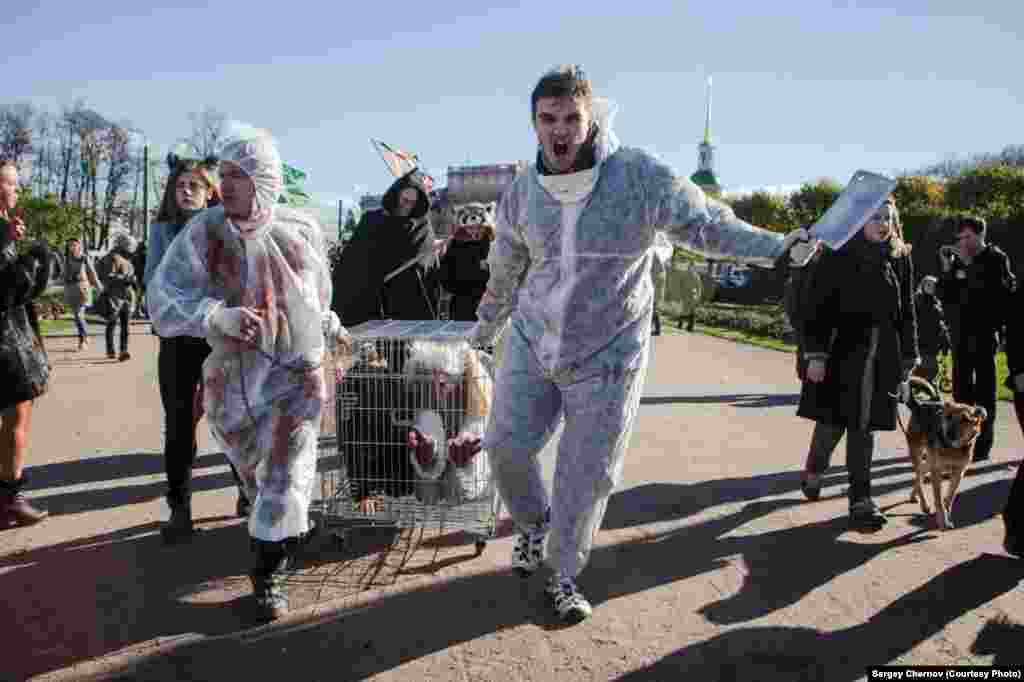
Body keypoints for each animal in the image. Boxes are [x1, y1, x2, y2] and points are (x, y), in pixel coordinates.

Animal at [909, 376, 987, 524]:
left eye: (965, 419)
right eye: (948, 417)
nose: (949, 434)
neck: (953, 449)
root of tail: (919, 404)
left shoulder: (959, 472)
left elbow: (950, 496)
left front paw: (947, 513)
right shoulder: (937, 471)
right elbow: (939, 499)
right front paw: (942, 520)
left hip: (929, 460)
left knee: (920, 474)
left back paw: (913, 495)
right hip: (918, 453)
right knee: (918, 477)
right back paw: (924, 504)